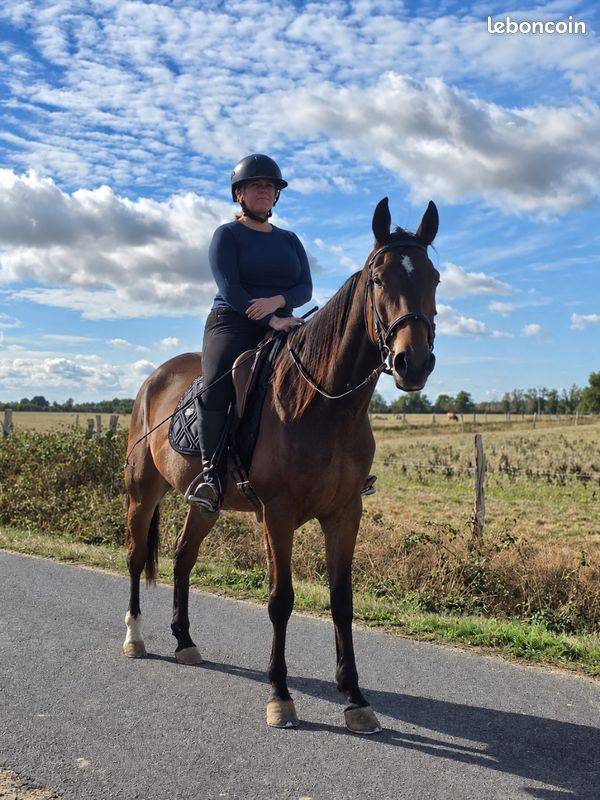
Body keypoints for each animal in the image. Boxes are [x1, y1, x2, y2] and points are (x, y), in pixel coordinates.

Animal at [122, 197, 440, 734]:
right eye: (378, 279)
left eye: (434, 277)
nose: (412, 363)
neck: (322, 405)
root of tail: (153, 379)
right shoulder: (278, 514)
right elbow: (281, 599)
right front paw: (280, 695)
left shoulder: (345, 513)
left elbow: (341, 601)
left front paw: (355, 698)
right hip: (142, 493)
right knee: (133, 556)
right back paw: (135, 638)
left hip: (203, 505)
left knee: (183, 558)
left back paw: (185, 642)